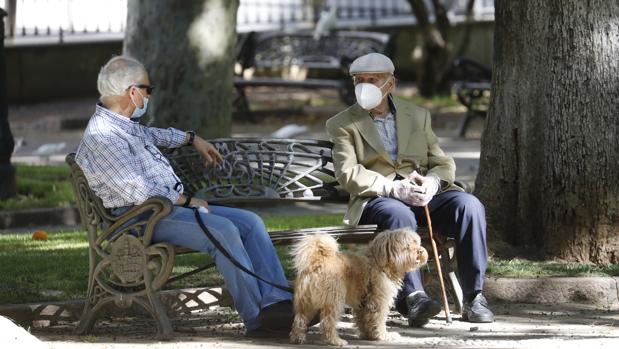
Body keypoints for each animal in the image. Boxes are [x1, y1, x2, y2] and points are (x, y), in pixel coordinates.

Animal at [290, 227, 426, 344]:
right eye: (407, 246)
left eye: (417, 242)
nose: (420, 251)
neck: (379, 263)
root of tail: (317, 261)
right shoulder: (379, 301)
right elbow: (379, 320)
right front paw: (383, 335)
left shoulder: (363, 304)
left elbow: (364, 321)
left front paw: (369, 335)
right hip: (334, 300)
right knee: (327, 323)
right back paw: (335, 341)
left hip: (305, 303)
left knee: (299, 320)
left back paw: (297, 338)